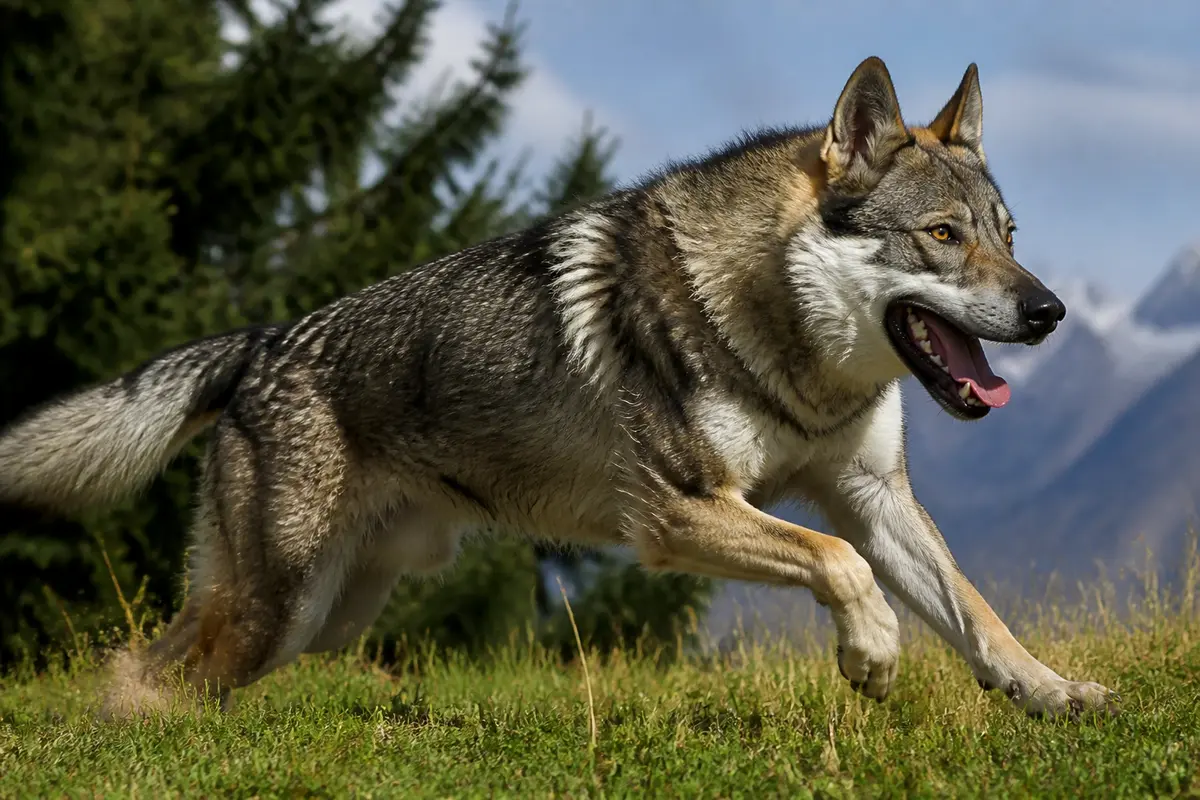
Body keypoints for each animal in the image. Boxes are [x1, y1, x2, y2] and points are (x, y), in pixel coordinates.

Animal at [0, 57, 1118, 721]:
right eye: (942, 236)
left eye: (1009, 234)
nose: (1050, 311)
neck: (784, 344)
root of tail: (263, 340)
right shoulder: (679, 515)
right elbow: (838, 566)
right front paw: (873, 656)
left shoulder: (873, 496)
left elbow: (977, 614)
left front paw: (1053, 693)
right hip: (280, 609)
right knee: (152, 676)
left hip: (324, 614)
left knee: (159, 658)